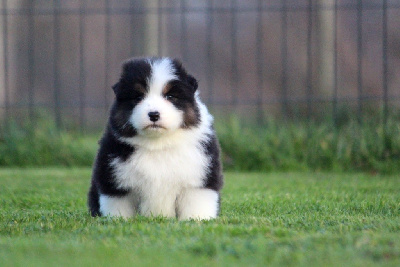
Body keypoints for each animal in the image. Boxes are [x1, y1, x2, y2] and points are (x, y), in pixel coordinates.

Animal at [88, 57, 223, 221]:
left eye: (170, 96)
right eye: (138, 97)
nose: (153, 114)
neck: (158, 144)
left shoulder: (198, 178)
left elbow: (197, 204)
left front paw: (197, 220)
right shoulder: (115, 180)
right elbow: (118, 206)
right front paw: (119, 220)